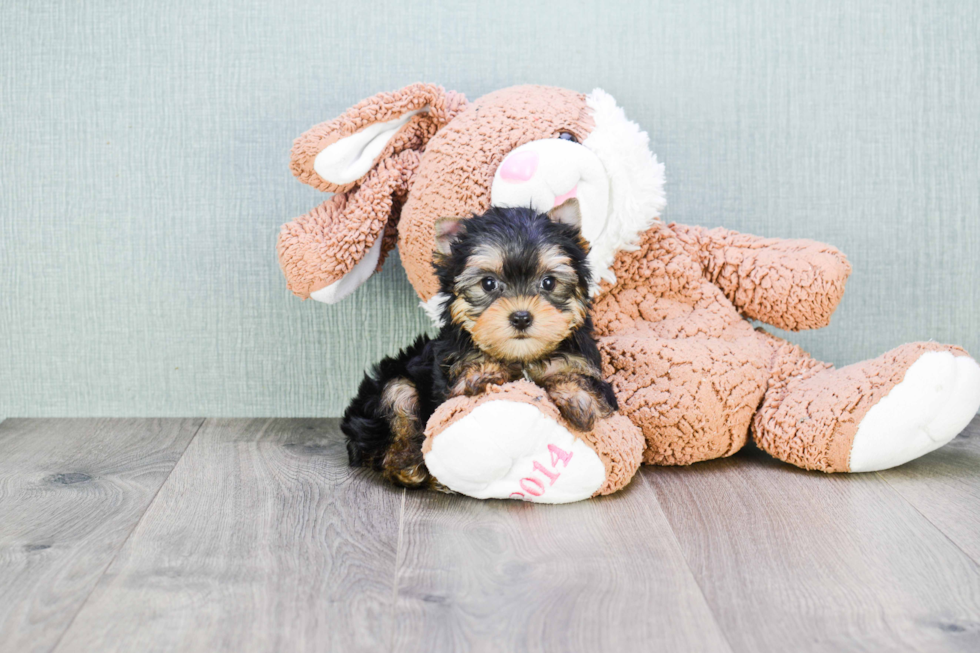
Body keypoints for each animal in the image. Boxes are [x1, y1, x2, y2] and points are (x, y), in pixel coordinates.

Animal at [340, 201, 616, 486]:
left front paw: (579, 400)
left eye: (548, 282)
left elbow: (578, 378)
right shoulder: (450, 385)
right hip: (392, 387)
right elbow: (465, 382)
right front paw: (484, 372)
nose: (521, 317)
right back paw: (407, 466)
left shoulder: (582, 363)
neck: (521, 356)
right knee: (397, 407)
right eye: (488, 283)